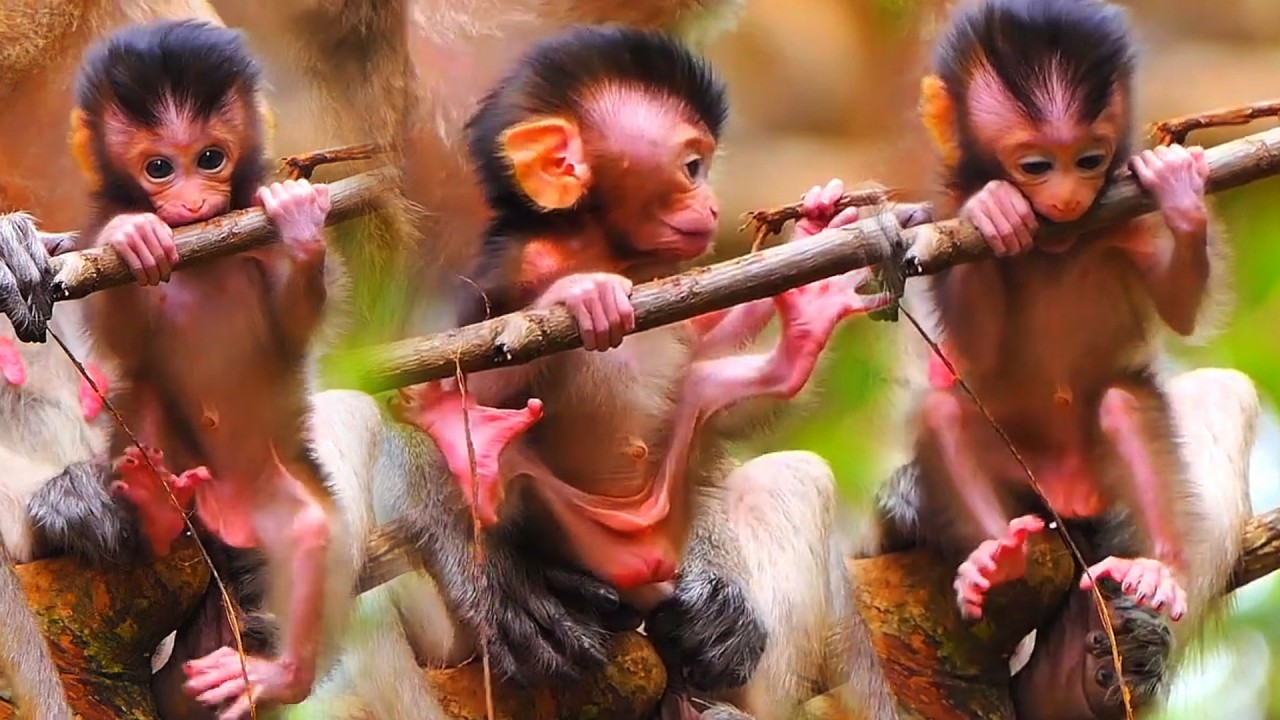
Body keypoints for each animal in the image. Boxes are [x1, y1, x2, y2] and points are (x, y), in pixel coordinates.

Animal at [17, 19, 357, 719]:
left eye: (210, 159)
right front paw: (132, 234)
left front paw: (301, 225)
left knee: (308, 534)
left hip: (274, 497)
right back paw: (153, 507)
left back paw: (281, 676)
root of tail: (222, 512)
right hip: (174, 458)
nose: (196, 203)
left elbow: (290, 328)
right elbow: (121, 333)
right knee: (144, 414)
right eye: (158, 168)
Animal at [872, 0, 1248, 717]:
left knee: (1125, 405)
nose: (1071, 199)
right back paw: (996, 558)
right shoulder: (942, 228)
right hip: (1023, 480)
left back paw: (1153, 573)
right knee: (947, 417)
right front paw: (994, 206)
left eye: (1091, 159)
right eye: (1036, 167)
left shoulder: (1126, 220)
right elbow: (971, 345)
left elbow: (1179, 309)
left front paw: (1182, 198)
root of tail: (1066, 492)